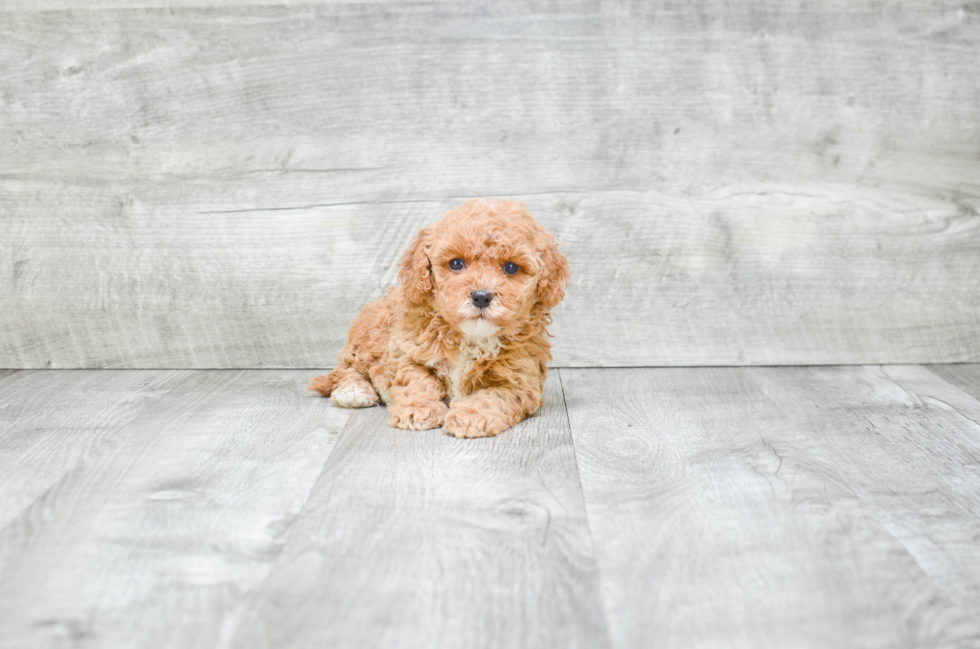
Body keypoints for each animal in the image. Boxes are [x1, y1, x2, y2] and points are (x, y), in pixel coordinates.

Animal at [310, 199, 572, 436]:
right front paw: (418, 409)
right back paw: (354, 391)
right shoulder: (406, 351)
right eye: (456, 263)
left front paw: (471, 415)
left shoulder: (520, 379)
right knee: (347, 368)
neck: (471, 338)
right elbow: (417, 381)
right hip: (367, 338)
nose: (481, 296)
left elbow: (494, 395)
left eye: (510, 267)